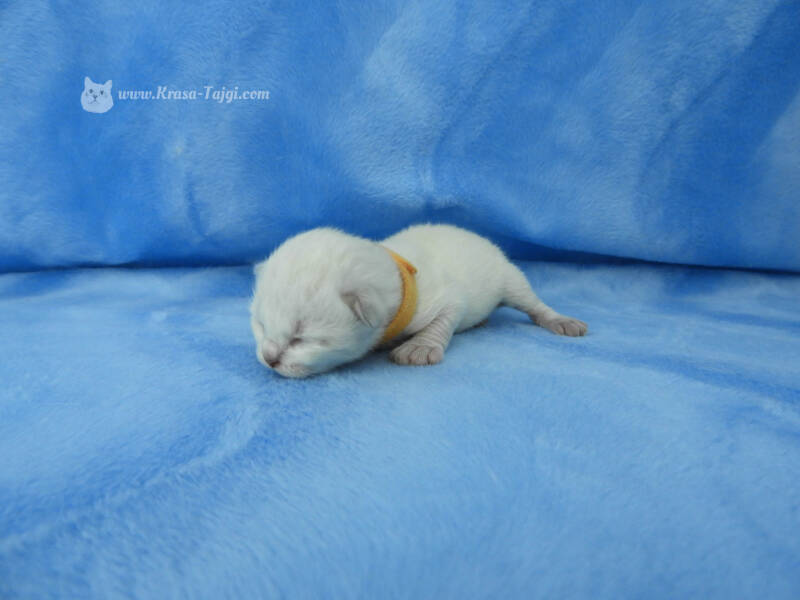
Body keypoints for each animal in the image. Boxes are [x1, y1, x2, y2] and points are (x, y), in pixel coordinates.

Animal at [250, 224, 587, 378]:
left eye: (301, 338)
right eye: (260, 326)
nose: (268, 358)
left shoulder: (447, 298)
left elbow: (445, 317)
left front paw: (419, 348)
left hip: (509, 276)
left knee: (532, 303)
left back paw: (561, 321)